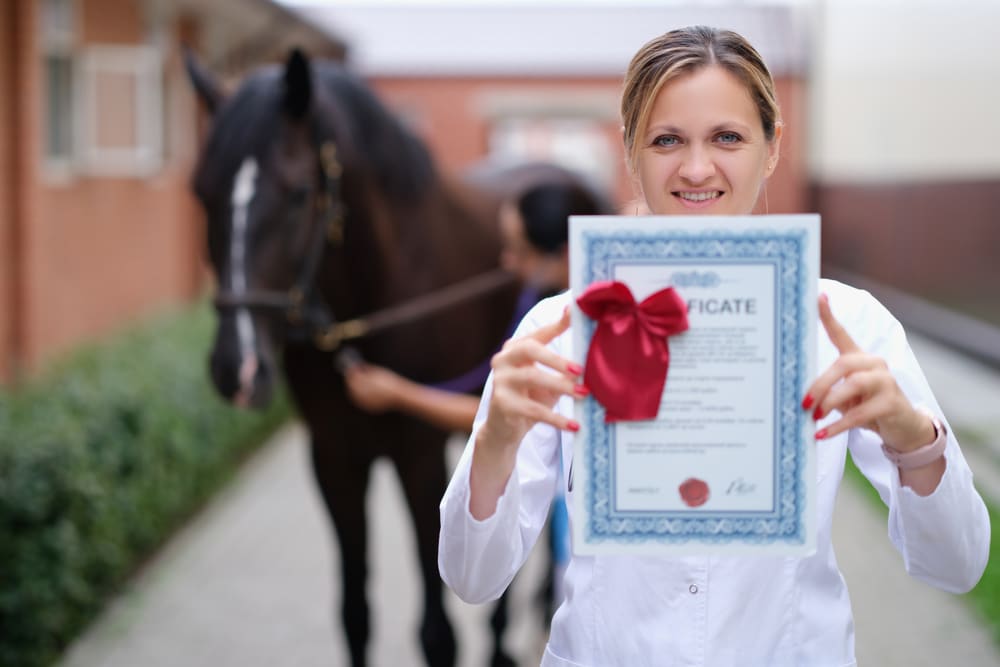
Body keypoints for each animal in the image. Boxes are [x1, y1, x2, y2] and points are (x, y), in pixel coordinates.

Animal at [184, 48, 596, 667]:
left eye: (299, 192)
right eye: (201, 192)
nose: (239, 368)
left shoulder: (417, 455)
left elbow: (437, 633)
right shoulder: (333, 459)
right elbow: (355, 614)